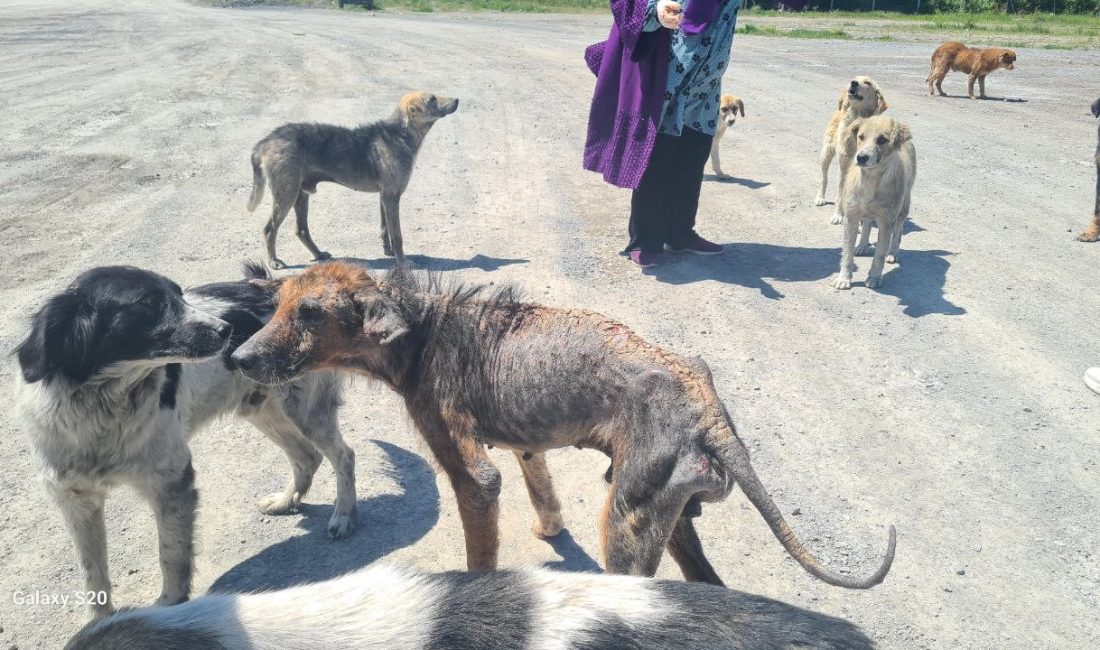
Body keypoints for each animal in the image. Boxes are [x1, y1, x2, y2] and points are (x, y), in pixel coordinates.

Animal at [15, 261, 354, 615]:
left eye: (179, 294)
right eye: (147, 304)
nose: (227, 330)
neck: (103, 403)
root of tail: (285, 288)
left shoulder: (171, 482)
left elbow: (171, 554)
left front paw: (169, 605)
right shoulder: (75, 499)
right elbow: (92, 575)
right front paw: (100, 620)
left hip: (305, 409)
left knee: (344, 456)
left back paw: (344, 516)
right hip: (261, 407)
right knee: (307, 456)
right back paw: (286, 501)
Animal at [229, 262, 893, 589]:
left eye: (309, 314)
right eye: (278, 304)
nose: (237, 358)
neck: (420, 330)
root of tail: (710, 405)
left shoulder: (474, 477)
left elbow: (478, 560)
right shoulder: (527, 449)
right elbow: (542, 491)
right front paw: (549, 530)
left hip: (626, 528)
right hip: (670, 517)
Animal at [247, 91, 457, 269]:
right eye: (432, 99)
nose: (457, 100)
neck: (400, 133)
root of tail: (265, 142)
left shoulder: (384, 196)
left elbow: (385, 229)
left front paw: (387, 251)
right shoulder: (391, 197)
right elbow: (397, 236)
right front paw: (403, 262)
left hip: (301, 194)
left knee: (301, 230)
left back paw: (319, 254)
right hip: (286, 195)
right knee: (270, 229)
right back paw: (274, 261)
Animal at [836, 115, 915, 290]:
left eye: (882, 140)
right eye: (861, 137)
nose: (861, 158)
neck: (870, 181)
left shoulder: (887, 221)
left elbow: (879, 253)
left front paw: (874, 277)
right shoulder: (851, 216)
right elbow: (847, 251)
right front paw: (844, 278)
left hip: (903, 207)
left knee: (898, 231)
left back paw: (892, 253)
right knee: (866, 223)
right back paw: (862, 246)